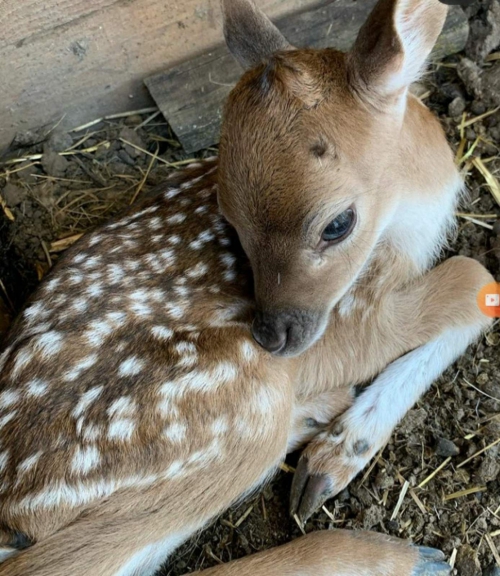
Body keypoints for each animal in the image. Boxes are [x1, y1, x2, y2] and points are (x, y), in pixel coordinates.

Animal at [0, 1, 492, 576]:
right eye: (230, 222)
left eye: (337, 224)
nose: (272, 336)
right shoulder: (352, 316)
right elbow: (474, 277)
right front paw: (337, 456)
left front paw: (338, 444)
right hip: (239, 403)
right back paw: (400, 551)